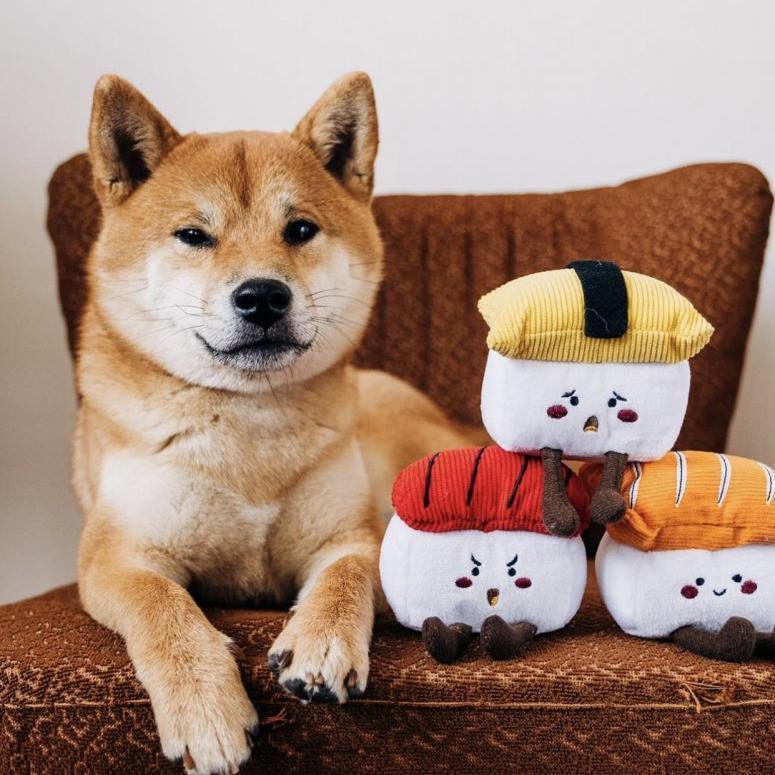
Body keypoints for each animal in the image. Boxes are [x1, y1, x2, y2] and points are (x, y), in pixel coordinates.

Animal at [74, 72, 472, 774]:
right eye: (193, 235)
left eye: (301, 228)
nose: (262, 296)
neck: (248, 424)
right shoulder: (116, 556)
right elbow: (165, 609)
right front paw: (204, 710)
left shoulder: (351, 536)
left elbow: (344, 579)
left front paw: (321, 646)